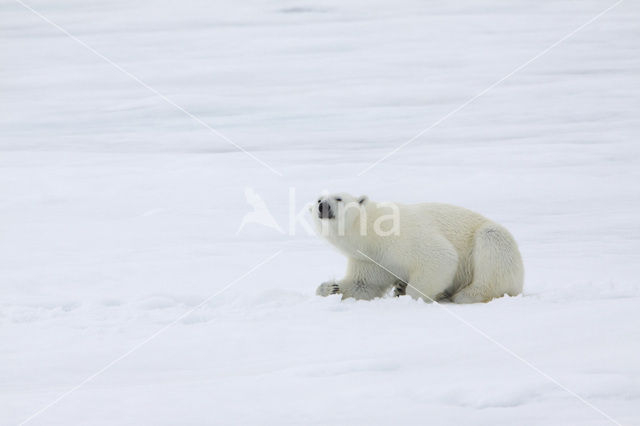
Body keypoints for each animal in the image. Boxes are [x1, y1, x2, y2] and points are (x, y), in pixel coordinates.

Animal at [312, 193, 524, 302]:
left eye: (338, 198)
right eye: (318, 199)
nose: (322, 206)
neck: (371, 234)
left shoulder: (400, 234)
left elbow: (440, 257)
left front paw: (413, 296)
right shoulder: (371, 258)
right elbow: (363, 284)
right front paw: (330, 287)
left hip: (493, 242)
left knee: (491, 244)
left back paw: (465, 294)